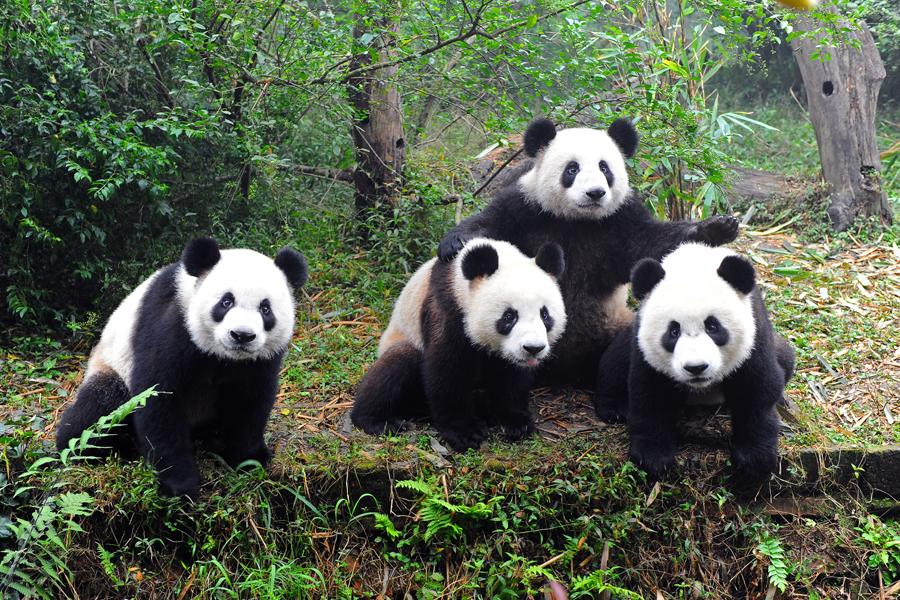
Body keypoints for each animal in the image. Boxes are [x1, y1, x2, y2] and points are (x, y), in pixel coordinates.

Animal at [56, 238, 308, 498]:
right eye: (226, 302)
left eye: (265, 309)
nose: (242, 335)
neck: (224, 356)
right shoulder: (171, 324)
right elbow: (159, 400)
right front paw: (179, 484)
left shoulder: (260, 360)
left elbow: (250, 402)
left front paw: (251, 459)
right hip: (111, 365)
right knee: (101, 407)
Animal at [351, 238, 567, 451]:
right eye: (509, 316)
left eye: (545, 315)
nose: (533, 348)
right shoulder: (448, 308)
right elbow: (447, 369)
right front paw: (465, 433)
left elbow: (512, 376)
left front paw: (515, 422)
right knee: (397, 364)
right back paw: (377, 420)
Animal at [438, 118, 740, 385]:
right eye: (572, 169)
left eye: (605, 168)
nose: (595, 193)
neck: (577, 220)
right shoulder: (526, 208)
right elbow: (491, 224)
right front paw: (454, 243)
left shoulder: (620, 220)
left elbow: (651, 244)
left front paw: (716, 228)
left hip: (613, 324)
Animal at [594, 243, 795, 481]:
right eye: (673, 331)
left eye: (713, 326)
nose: (696, 368)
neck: (694, 263)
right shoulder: (645, 348)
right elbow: (650, 395)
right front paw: (653, 457)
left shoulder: (755, 335)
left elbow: (758, 391)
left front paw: (755, 459)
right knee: (615, 361)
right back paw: (614, 408)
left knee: (786, 358)